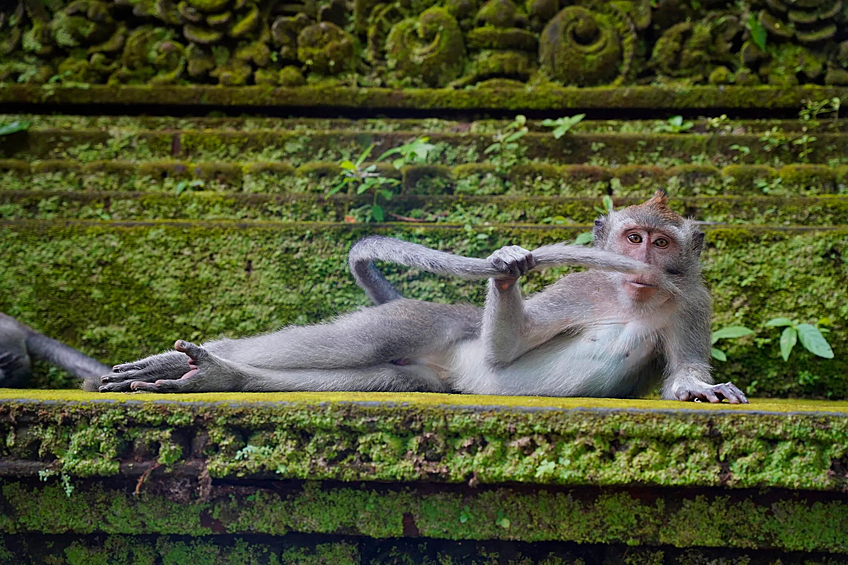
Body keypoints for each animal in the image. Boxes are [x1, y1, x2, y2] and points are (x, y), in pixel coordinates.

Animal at [96, 192, 748, 404]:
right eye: (633, 238)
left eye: (661, 241)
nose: (645, 265)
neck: (630, 298)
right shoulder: (579, 288)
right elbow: (505, 353)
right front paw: (508, 268)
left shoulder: (693, 302)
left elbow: (684, 367)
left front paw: (699, 388)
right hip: (427, 321)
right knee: (361, 341)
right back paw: (195, 360)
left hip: (428, 375)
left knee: (381, 375)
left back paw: (221, 377)